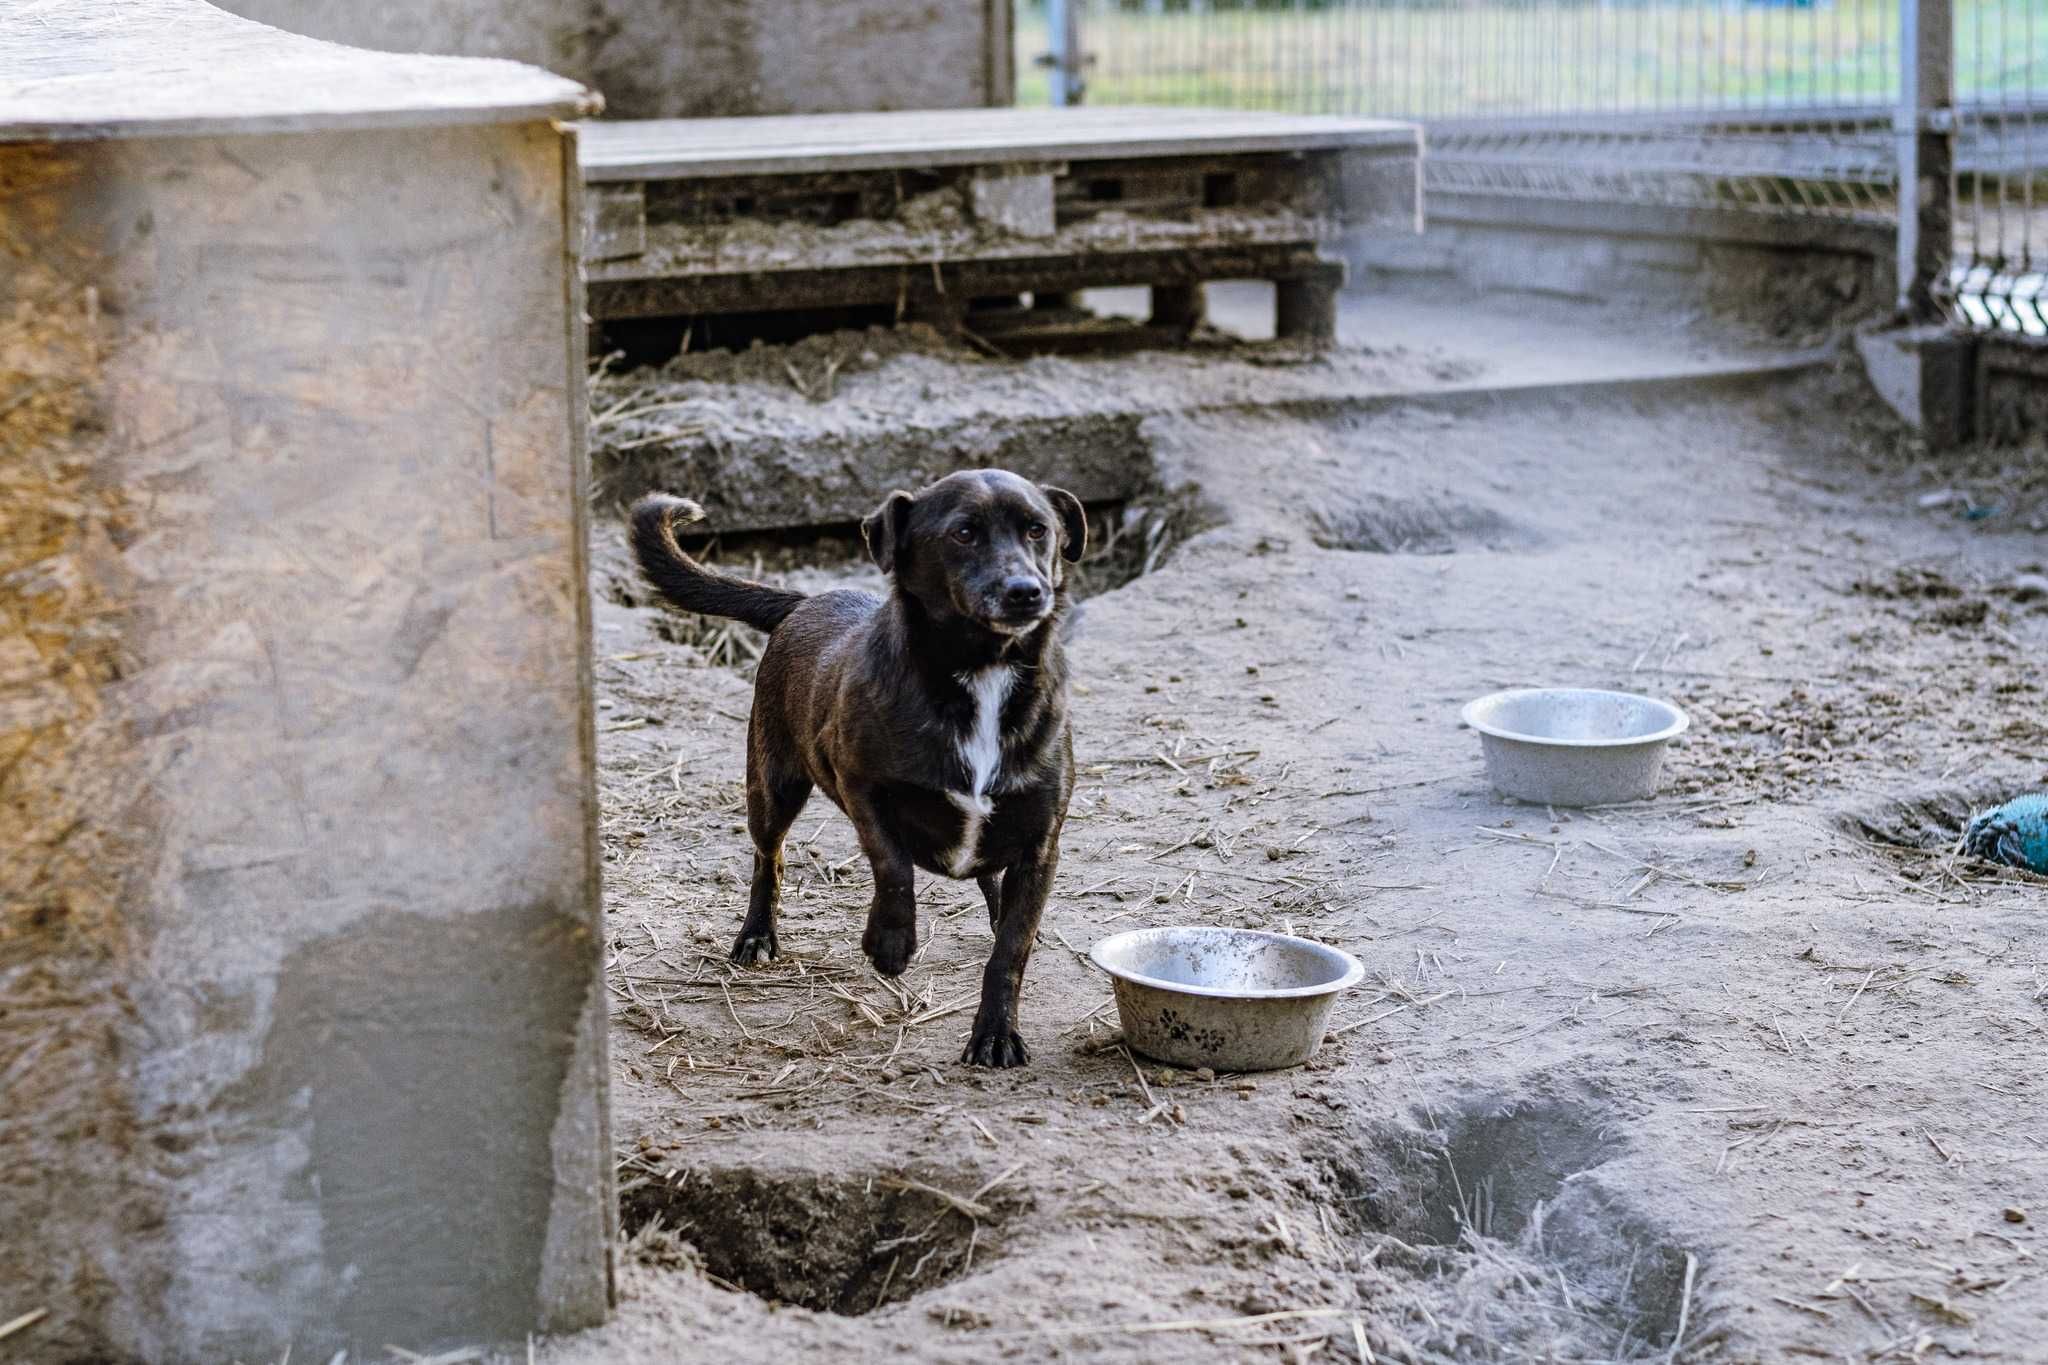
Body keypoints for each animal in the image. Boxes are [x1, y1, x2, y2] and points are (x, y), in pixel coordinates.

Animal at [630, 470, 1089, 1064]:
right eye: (963, 533)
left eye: (1038, 530)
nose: (1026, 591)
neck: (983, 672)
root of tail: (806, 601)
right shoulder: (861, 785)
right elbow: (893, 867)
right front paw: (891, 944)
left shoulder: (1040, 844)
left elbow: (1010, 951)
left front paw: (995, 1033)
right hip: (772, 787)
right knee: (768, 858)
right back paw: (757, 936)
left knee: (991, 881)